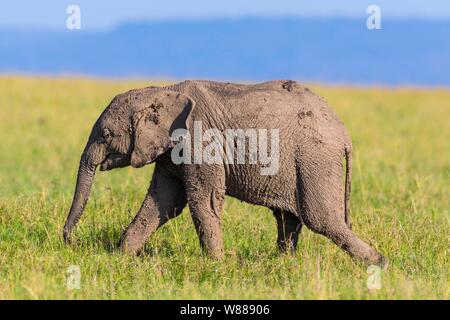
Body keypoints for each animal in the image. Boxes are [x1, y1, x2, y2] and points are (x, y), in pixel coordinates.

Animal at [64, 80, 386, 268]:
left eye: (106, 134)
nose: (71, 242)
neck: (161, 90)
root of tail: (343, 133)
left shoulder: (199, 141)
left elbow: (203, 201)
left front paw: (216, 266)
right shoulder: (171, 151)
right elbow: (163, 203)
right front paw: (121, 257)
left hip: (315, 158)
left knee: (321, 218)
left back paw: (377, 264)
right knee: (289, 219)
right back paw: (284, 265)